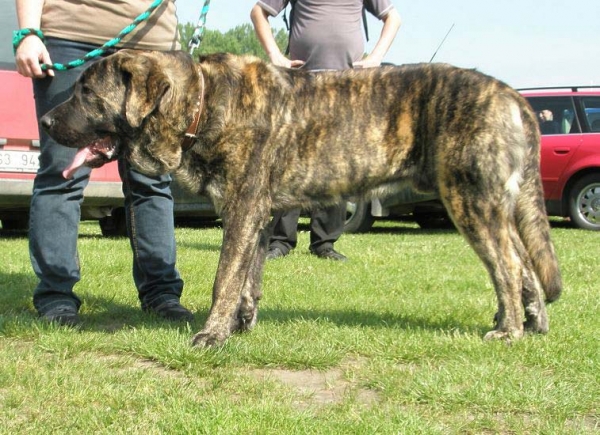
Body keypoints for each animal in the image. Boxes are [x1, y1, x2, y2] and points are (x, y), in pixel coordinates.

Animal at [42, 49, 564, 348]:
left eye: (86, 92)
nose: (45, 121)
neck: (202, 104)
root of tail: (512, 95)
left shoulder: (243, 210)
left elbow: (224, 278)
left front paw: (212, 335)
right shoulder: (255, 217)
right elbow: (247, 278)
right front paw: (240, 324)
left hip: (469, 202)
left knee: (508, 264)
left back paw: (510, 329)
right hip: (489, 205)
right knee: (521, 263)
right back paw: (532, 322)